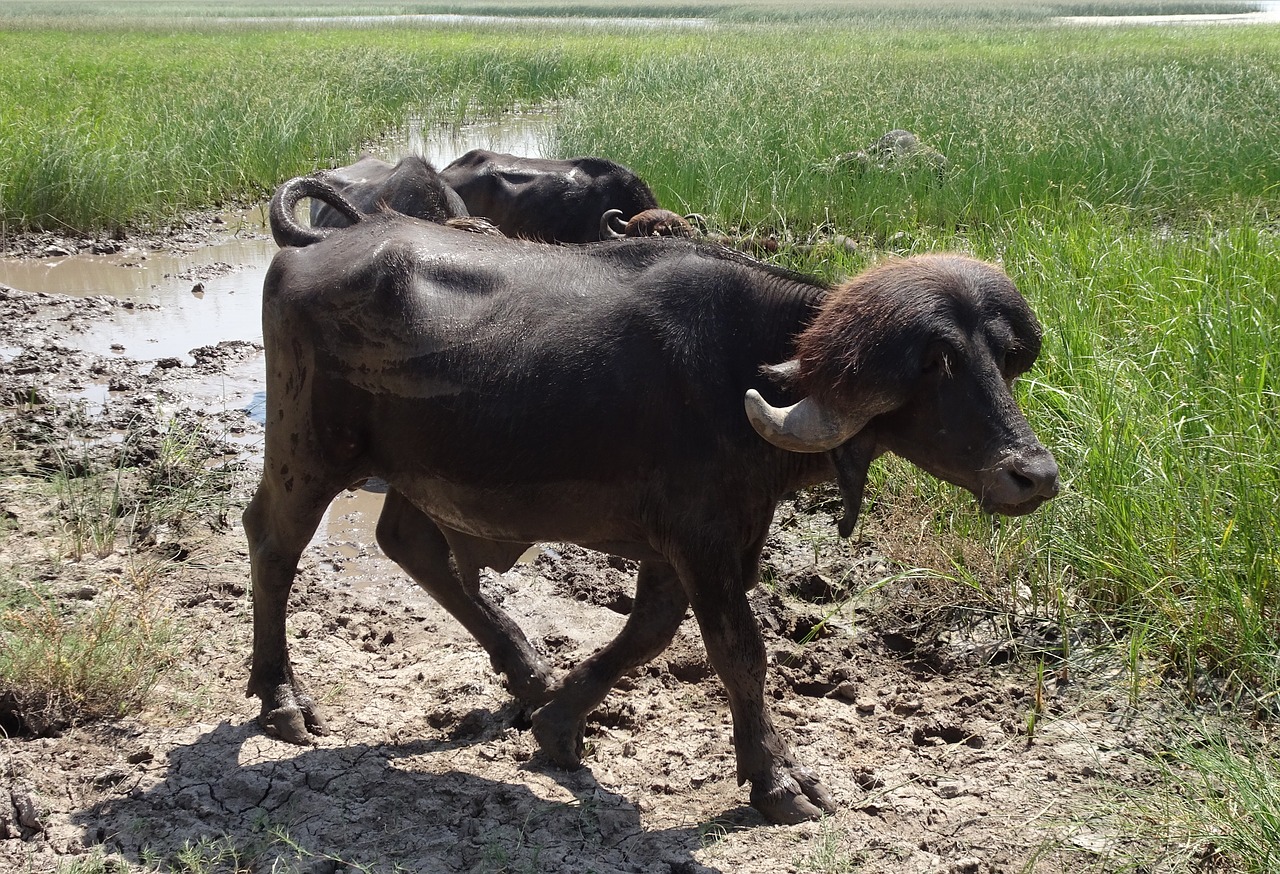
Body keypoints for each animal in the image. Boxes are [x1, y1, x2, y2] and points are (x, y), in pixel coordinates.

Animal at [247, 179, 1059, 829]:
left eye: (1003, 357)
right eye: (937, 363)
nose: (1034, 475)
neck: (744, 369)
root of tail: (319, 243)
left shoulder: (707, 541)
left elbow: (649, 633)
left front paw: (559, 722)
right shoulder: (703, 542)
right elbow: (738, 651)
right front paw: (777, 780)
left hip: (424, 470)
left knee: (409, 543)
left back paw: (527, 672)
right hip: (308, 450)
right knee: (274, 540)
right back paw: (281, 698)